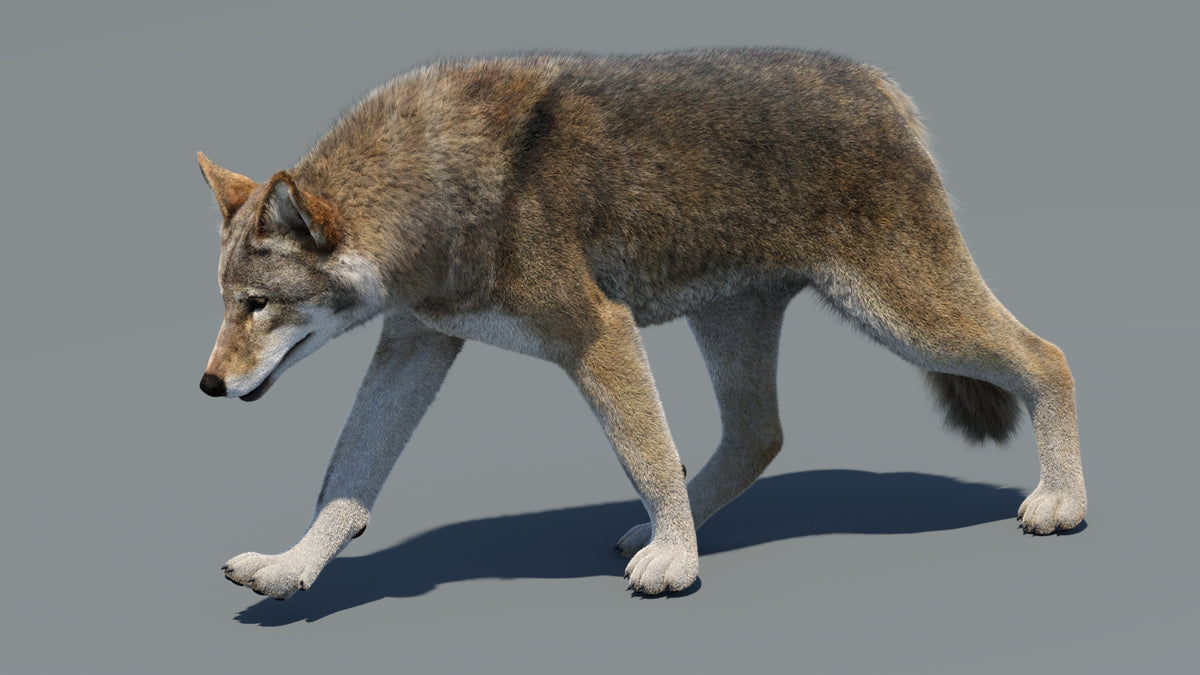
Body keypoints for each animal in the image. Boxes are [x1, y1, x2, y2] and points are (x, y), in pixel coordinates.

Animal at [198, 48, 1085, 600]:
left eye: (257, 304)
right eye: (225, 300)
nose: (207, 383)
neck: (433, 190)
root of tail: (877, 82)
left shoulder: (599, 331)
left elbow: (648, 453)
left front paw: (677, 564)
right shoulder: (416, 344)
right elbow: (346, 479)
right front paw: (290, 569)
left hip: (905, 314)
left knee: (1049, 356)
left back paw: (1061, 504)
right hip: (734, 323)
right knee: (760, 435)